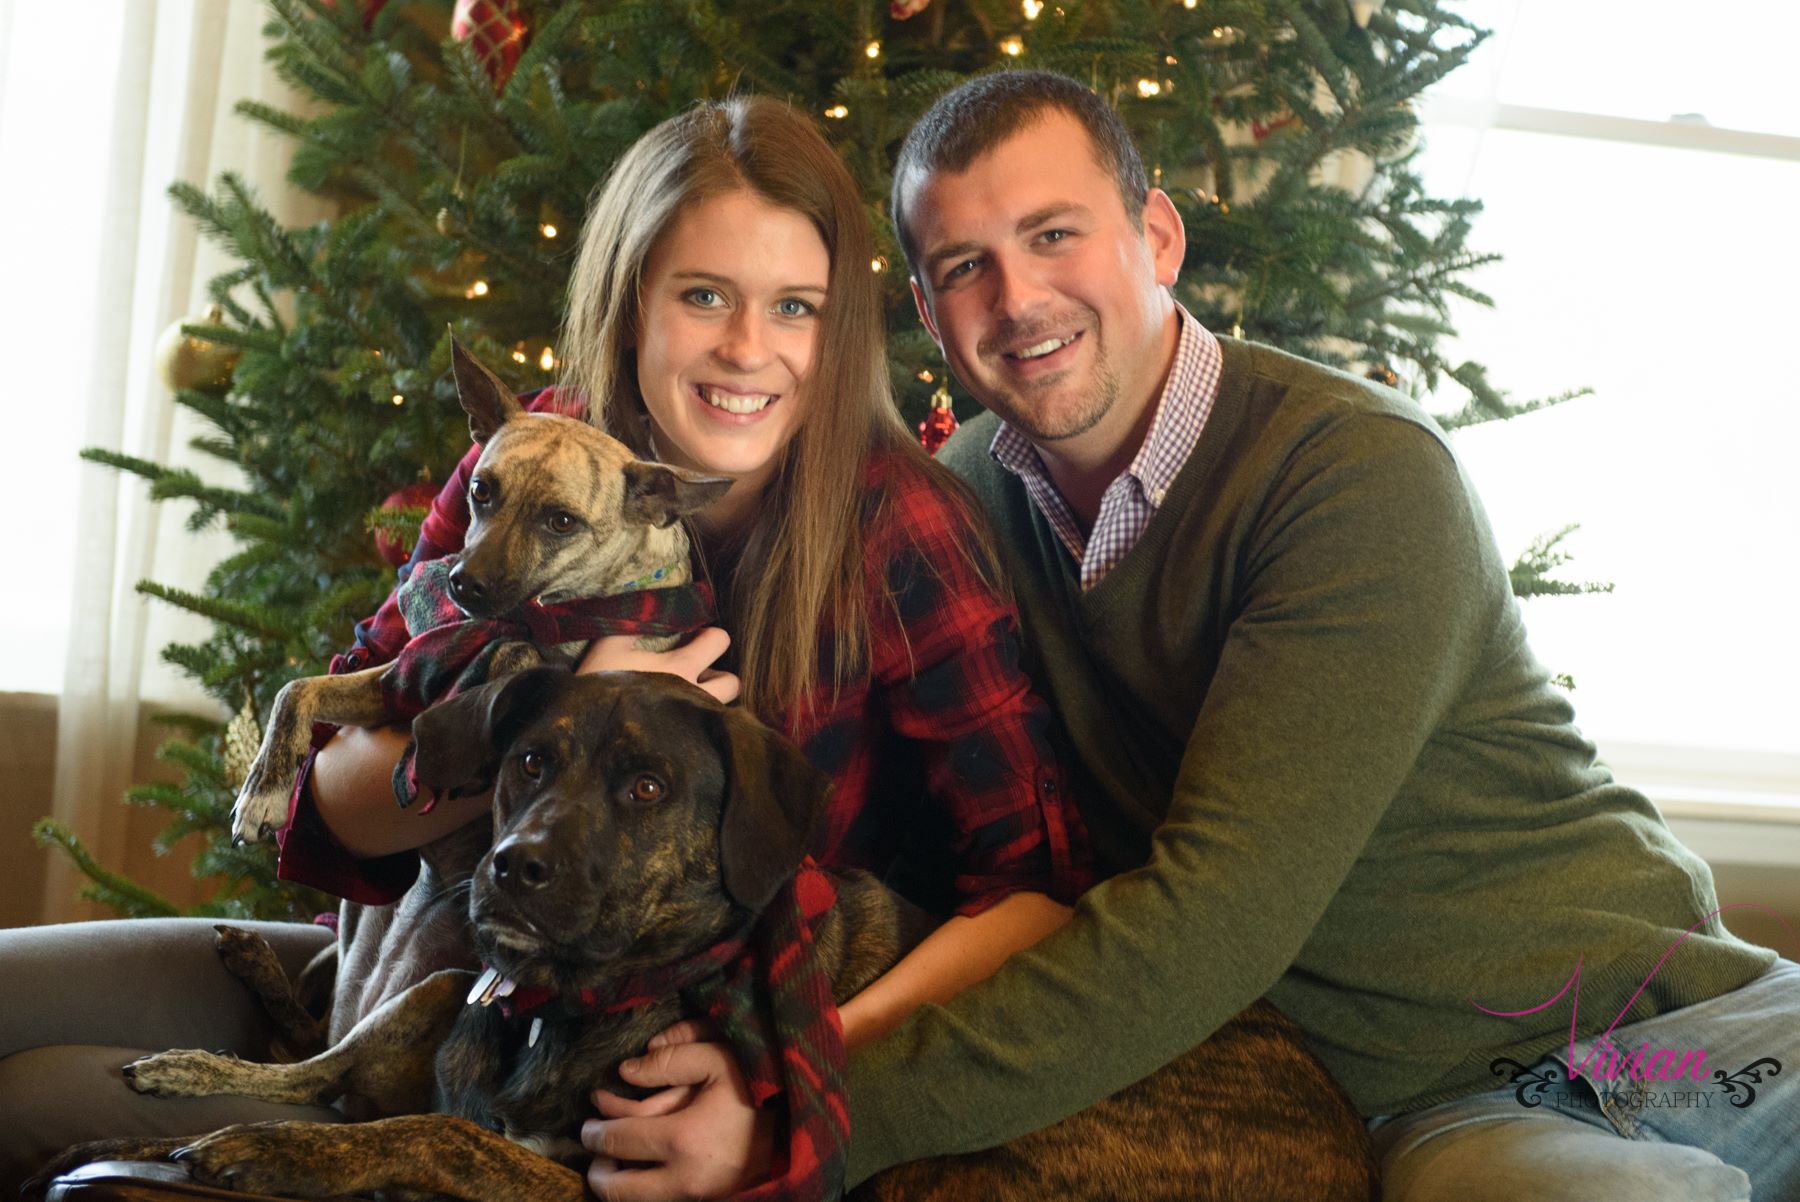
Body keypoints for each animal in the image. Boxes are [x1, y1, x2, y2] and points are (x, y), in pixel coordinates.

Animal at [31, 672, 1375, 1194]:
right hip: (435, 989)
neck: (573, 1002)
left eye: (645, 788)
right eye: (526, 762)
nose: (510, 869)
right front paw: (165, 1129)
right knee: (322, 1061)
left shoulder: (591, 1184)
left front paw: (253, 1151)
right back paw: (201, 1044)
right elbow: (381, 1105)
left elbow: (427, 1134)